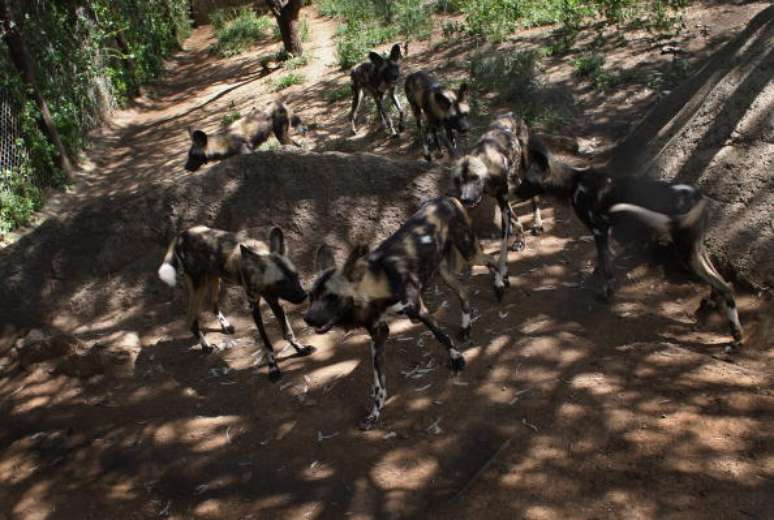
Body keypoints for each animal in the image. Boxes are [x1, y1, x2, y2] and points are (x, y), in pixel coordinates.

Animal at [158, 223, 316, 378]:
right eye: (281, 282)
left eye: (296, 276)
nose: (303, 296)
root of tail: (182, 234)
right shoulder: (254, 307)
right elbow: (266, 342)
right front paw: (273, 367)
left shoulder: (274, 301)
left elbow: (288, 332)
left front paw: (300, 348)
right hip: (199, 288)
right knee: (191, 318)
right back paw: (205, 345)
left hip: (216, 280)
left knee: (213, 304)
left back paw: (225, 325)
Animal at [306, 197, 506, 428]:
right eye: (311, 296)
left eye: (332, 297)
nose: (307, 319)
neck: (378, 287)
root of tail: (445, 198)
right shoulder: (378, 334)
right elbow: (379, 383)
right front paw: (375, 413)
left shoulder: (419, 311)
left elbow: (442, 336)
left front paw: (457, 360)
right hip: (445, 272)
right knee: (464, 294)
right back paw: (466, 327)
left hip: (470, 253)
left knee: (492, 260)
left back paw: (501, 284)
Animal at [452, 112, 548, 288]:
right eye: (458, 180)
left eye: (475, 178)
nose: (466, 199)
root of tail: (511, 114)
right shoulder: (500, 199)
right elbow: (515, 220)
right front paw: (519, 240)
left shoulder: (502, 198)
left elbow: (504, 244)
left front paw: (501, 273)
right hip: (514, 179)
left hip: (525, 165)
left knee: (534, 195)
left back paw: (537, 224)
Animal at [516, 140, 744, 352]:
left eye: (526, 181)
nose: (513, 192)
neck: (574, 183)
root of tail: (698, 198)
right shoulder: (606, 231)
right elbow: (603, 261)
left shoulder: (599, 230)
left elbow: (607, 268)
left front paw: (606, 293)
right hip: (695, 248)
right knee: (722, 281)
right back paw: (711, 304)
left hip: (686, 253)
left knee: (724, 286)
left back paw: (736, 336)